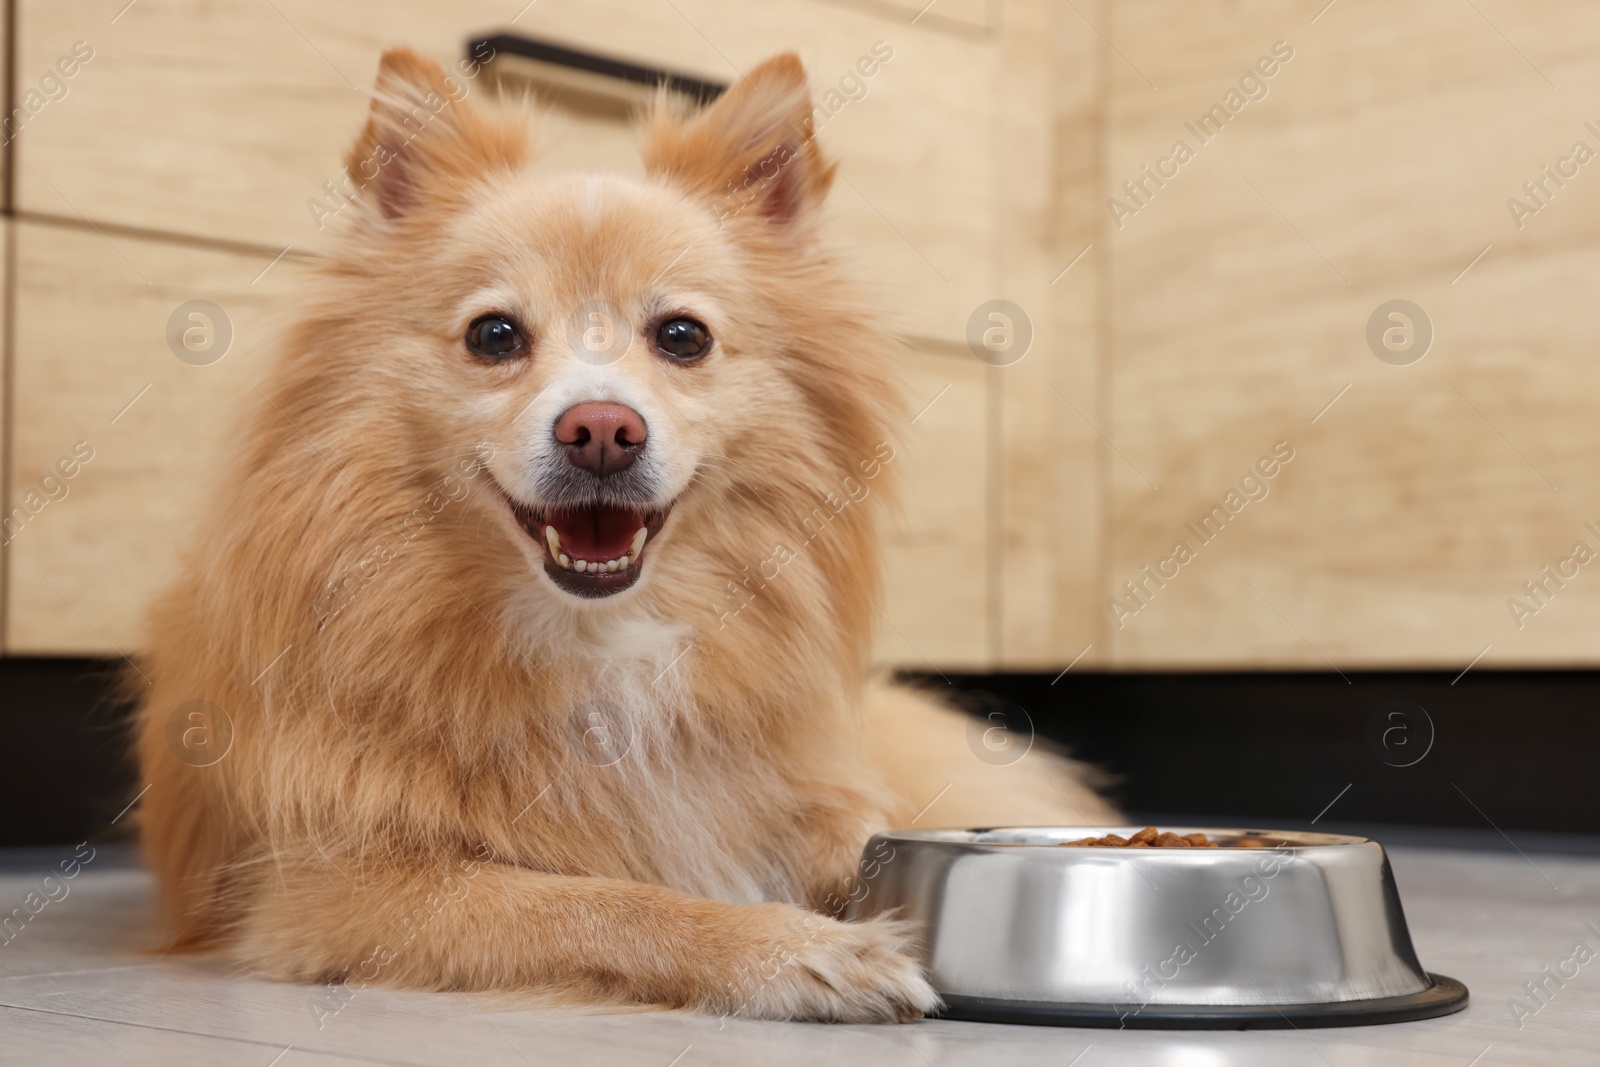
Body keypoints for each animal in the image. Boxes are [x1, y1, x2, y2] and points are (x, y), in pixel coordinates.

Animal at [134, 45, 1113, 1023]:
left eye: (681, 336)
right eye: (494, 334)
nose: (602, 428)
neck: (597, 639)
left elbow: (859, 834)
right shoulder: (335, 890)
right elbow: (604, 902)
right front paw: (787, 947)